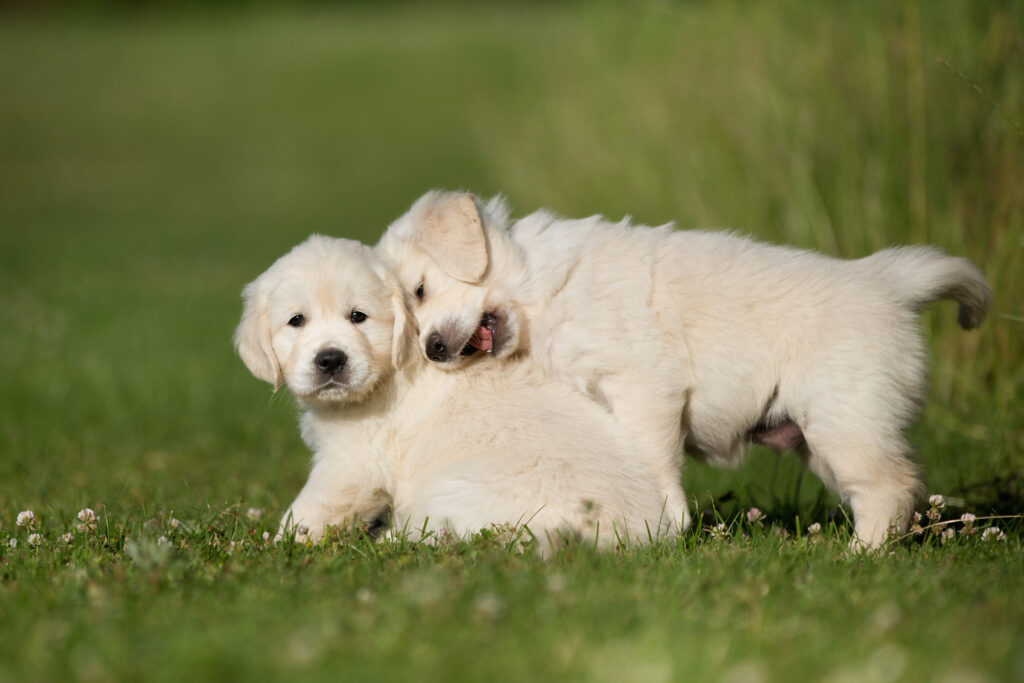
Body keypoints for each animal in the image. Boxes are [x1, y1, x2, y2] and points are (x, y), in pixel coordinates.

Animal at [376, 189, 991, 548]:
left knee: (892, 487)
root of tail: (888, 281)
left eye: (421, 289)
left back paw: (861, 555)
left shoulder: (642, 384)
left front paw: (664, 526)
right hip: (827, 438)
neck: (540, 290)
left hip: (846, 418)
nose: (432, 349)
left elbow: (652, 464)